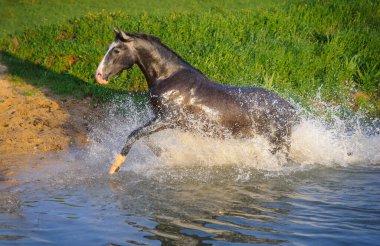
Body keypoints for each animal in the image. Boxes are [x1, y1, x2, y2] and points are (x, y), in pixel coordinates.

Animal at [95, 27, 296, 174]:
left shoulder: (166, 119)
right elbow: (145, 138)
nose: (99, 75)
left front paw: (114, 168)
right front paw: (165, 155)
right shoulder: (164, 121)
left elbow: (134, 135)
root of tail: (290, 108)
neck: (168, 76)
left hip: (278, 142)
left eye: (117, 50)